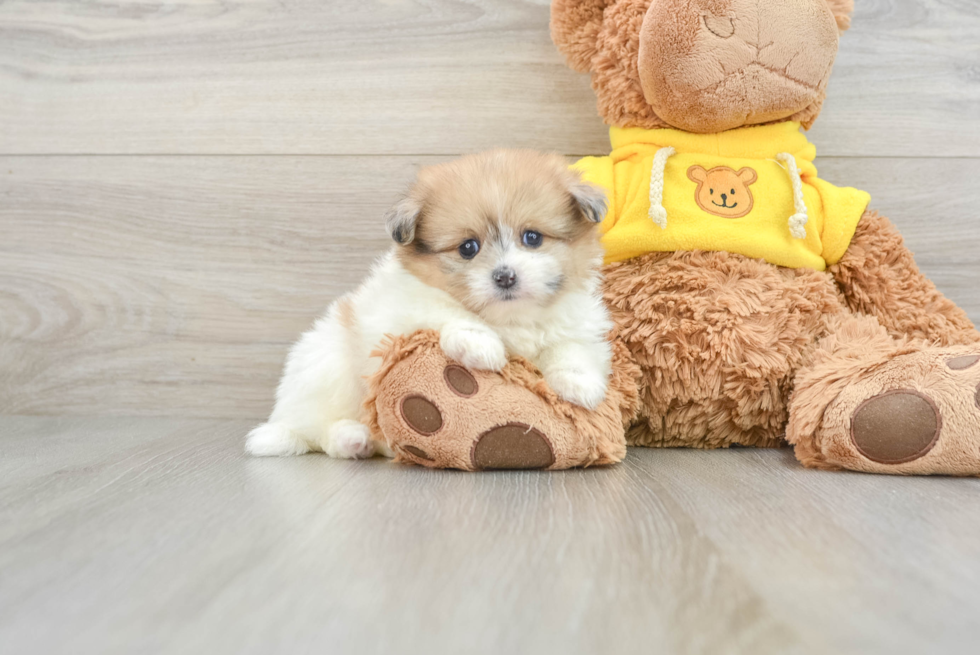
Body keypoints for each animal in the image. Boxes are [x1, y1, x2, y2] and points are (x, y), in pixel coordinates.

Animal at [245, 149, 612, 458]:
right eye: (468, 248)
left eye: (532, 238)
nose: (505, 276)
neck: (510, 318)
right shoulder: (406, 307)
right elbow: (447, 309)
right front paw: (480, 345)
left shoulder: (577, 320)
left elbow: (572, 346)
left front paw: (579, 384)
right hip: (328, 367)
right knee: (320, 432)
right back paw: (352, 438)